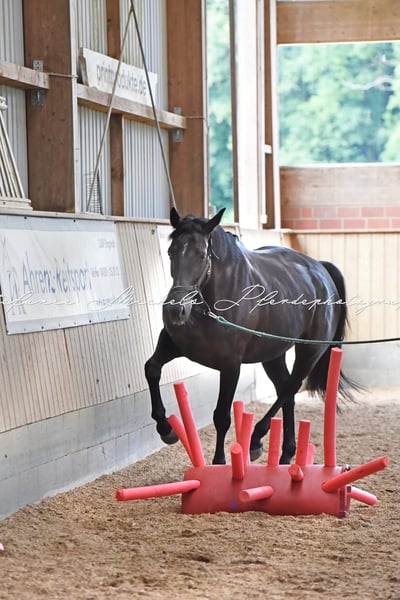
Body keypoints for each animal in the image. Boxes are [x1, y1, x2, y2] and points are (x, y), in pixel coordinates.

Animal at [145, 207, 356, 465]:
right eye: (171, 251)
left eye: (202, 254)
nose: (175, 311)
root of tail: (320, 270)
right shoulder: (172, 345)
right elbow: (152, 369)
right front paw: (166, 429)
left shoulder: (230, 365)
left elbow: (222, 416)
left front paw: (219, 462)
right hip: (272, 354)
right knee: (286, 391)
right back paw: (286, 453)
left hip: (310, 351)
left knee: (290, 387)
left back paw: (256, 439)